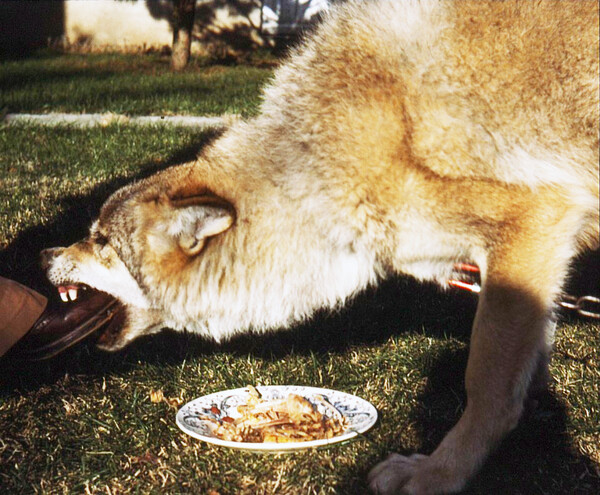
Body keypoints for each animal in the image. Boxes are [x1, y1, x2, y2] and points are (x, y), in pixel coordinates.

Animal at [39, 1, 596, 494]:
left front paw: (439, 475)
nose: (42, 256)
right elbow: (527, 363)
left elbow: (486, 383)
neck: (310, 171)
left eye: (100, 241)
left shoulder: (531, 222)